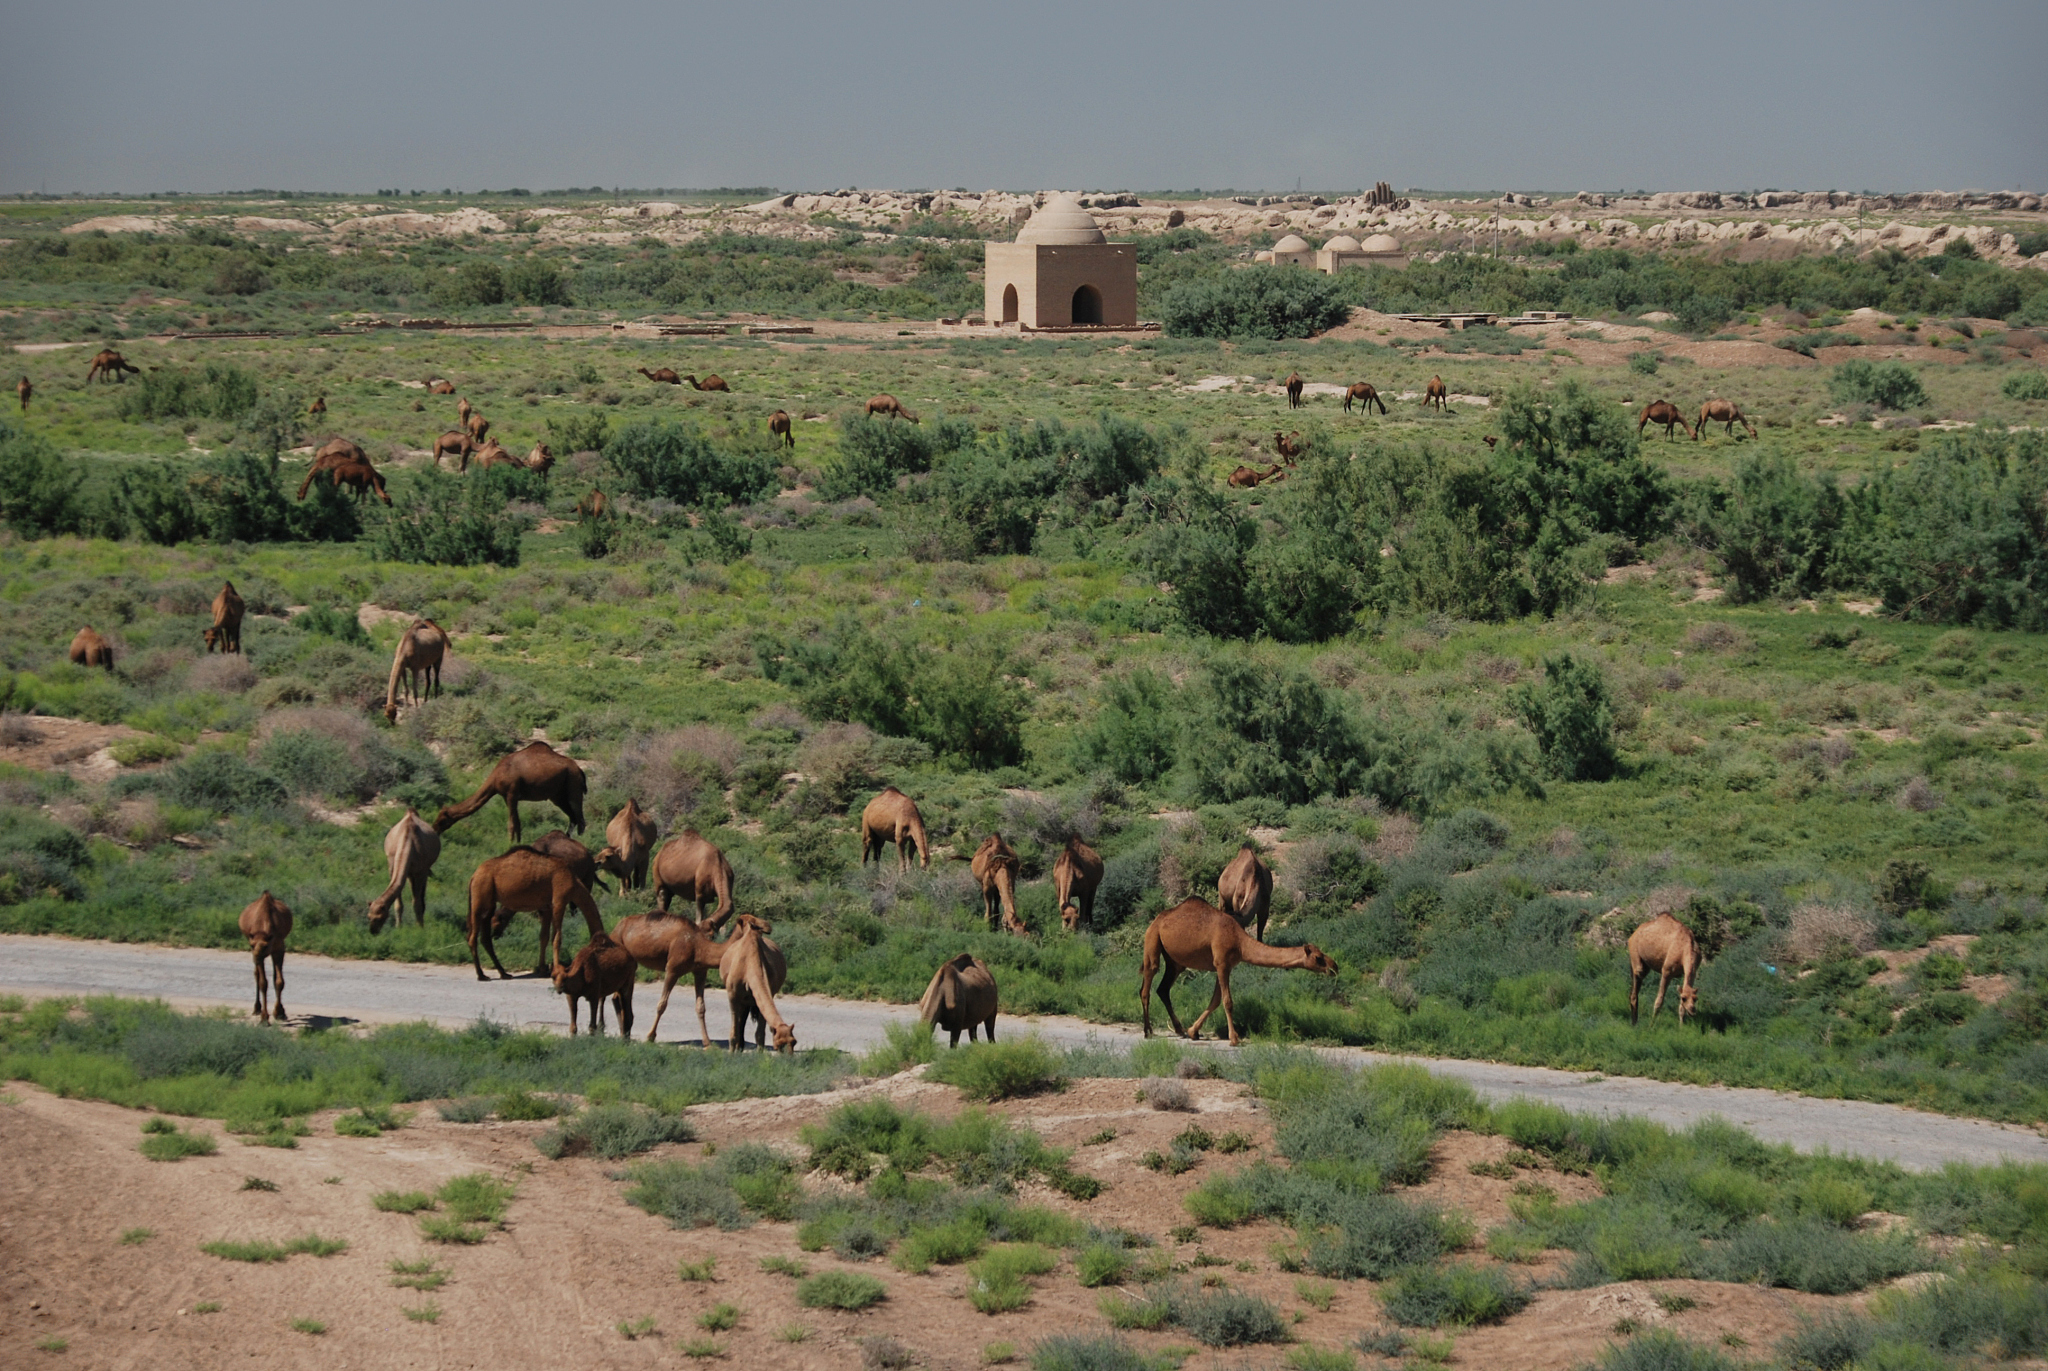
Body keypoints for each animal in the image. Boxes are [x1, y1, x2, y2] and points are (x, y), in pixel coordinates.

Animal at [434, 740, 587, 843]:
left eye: (442, 820)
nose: (434, 829)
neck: (495, 778)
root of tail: (579, 770)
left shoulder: (511, 793)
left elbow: (511, 824)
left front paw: (508, 845)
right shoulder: (508, 797)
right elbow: (517, 823)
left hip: (573, 786)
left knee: (580, 820)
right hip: (557, 796)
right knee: (573, 818)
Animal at [463, 845, 604, 980]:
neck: (573, 881)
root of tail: (473, 876)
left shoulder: (547, 908)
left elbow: (544, 937)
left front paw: (543, 970)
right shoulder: (559, 900)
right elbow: (557, 938)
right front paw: (556, 970)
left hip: (489, 904)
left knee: (485, 938)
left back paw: (504, 973)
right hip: (480, 895)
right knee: (472, 937)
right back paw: (481, 975)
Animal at [720, 916, 795, 1053]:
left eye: (794, 1042)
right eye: (779, 1044)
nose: (789, 1056)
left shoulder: (769, 991)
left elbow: (760, 1034)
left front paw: (760, 1053)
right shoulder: (732, 995)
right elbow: (734, 1031)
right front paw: (732, 1052)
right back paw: (739, 1047)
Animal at [1139, 898, 1336, 1047]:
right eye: (1318, 957)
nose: (1334, 967)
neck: (1240, 942)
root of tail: (1156, 920)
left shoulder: (1224, 965)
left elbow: (1216, 1000)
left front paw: (1193, 1031)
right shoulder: (1221, 963)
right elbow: (1227, 1001)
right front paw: (1234, 1039)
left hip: (1175, 962)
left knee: (1163, 989)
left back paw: (1179, 1030)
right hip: (1152, 940)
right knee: (1147, 984)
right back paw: (1148, 1031)